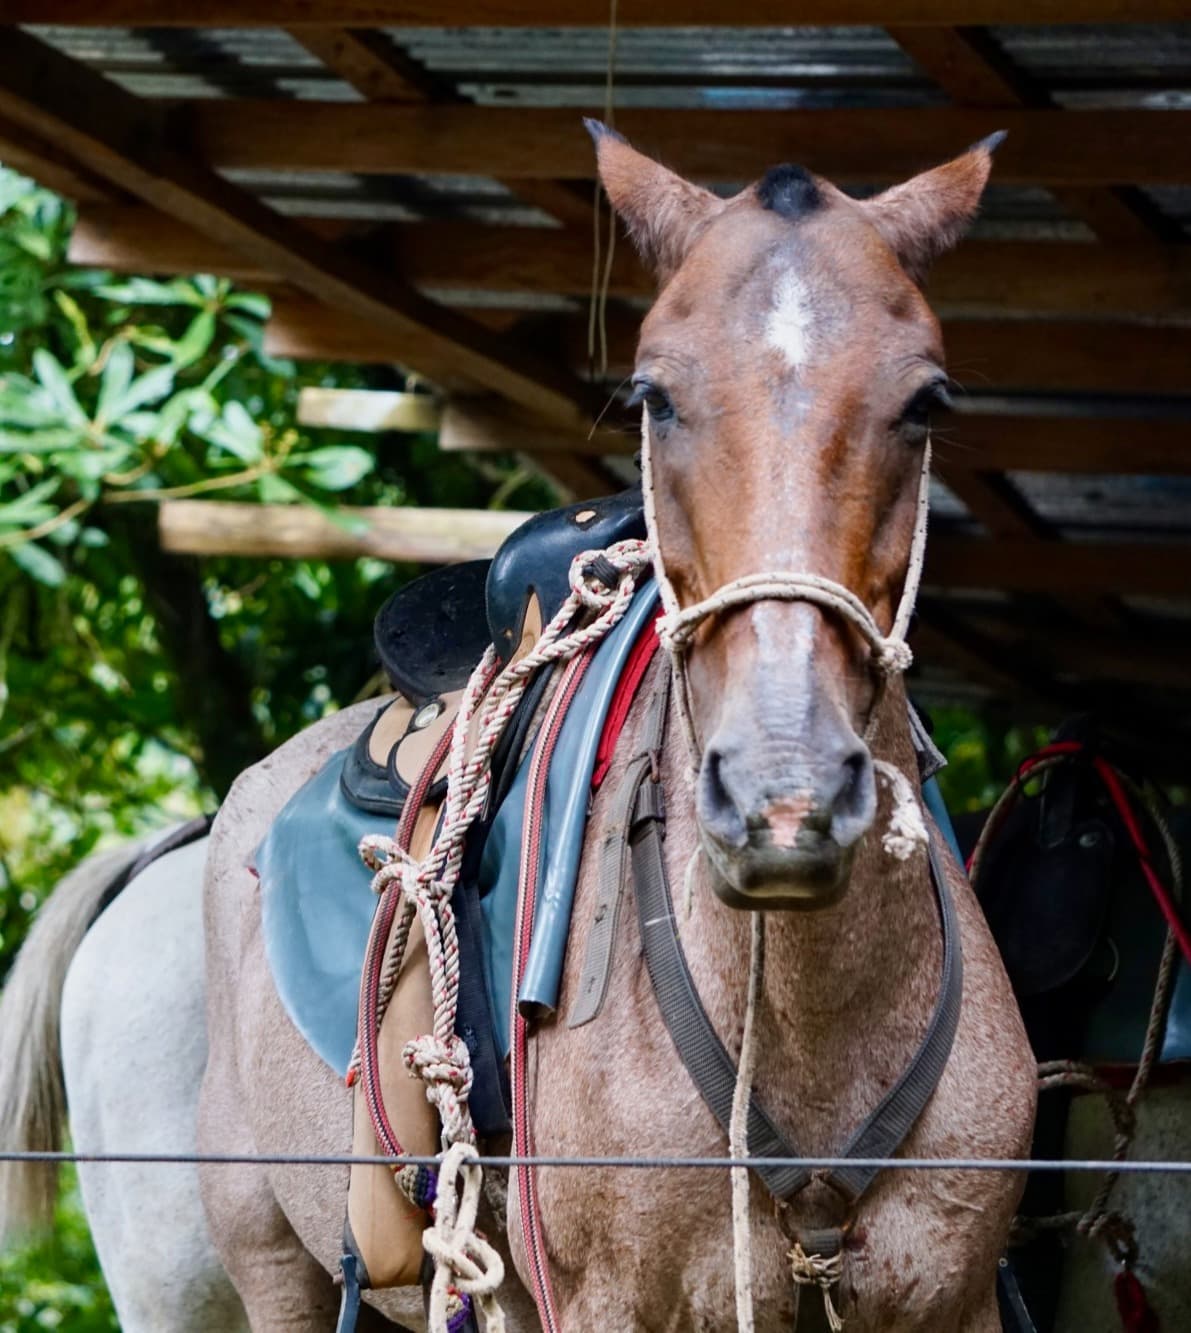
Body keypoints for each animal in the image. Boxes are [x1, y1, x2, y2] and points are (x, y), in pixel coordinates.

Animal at [1, 127, 1044, 1330]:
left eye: (926, 400)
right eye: (653, 395)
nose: (784, 795)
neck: (800, 1019)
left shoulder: (947, 1298)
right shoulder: (603, 1301)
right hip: (240, 1276)